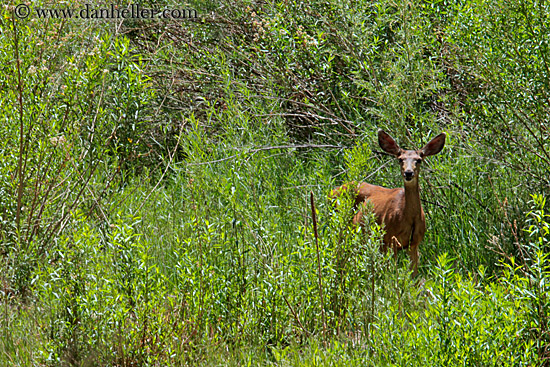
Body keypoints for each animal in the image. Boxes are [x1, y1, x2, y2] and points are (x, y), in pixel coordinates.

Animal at [332, 129, 448, 276]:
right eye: (400, 159)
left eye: (419, 160)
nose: (408, 173)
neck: (407, 218)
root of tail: (333, 190)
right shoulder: (389, 240)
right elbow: (392, 275)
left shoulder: (414, 244)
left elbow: (414, 276)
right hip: (343, 227)